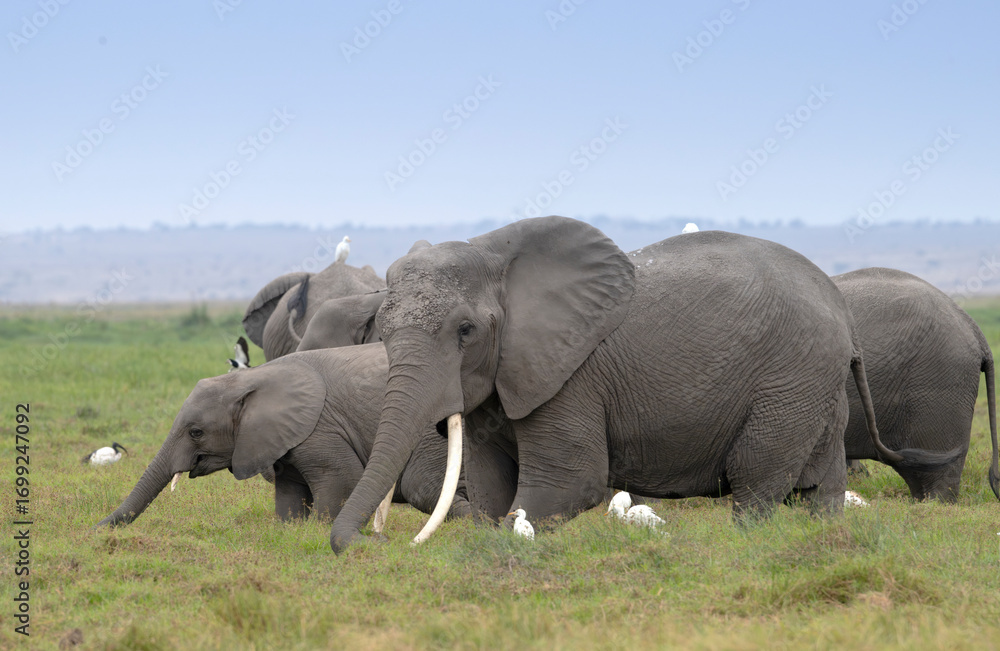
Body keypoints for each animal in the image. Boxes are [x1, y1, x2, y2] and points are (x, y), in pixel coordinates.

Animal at [96, 344, 471, 528]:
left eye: (196, 432)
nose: (95, 528)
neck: (253, 379)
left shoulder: (319, 430)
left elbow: (343, 479)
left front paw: (319, 533)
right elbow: (289, 494)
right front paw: (291, 531)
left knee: (424, 487)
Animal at [328, 217, 961, 551]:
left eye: (465, 331)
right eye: (381, 327)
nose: (367, 545)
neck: (496, 250)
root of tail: (842, 315)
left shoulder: (573, 375)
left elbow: (567, 485)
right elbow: (490, 486)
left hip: (790, 380)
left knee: (756, 481)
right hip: (815, 384)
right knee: (818, 488)